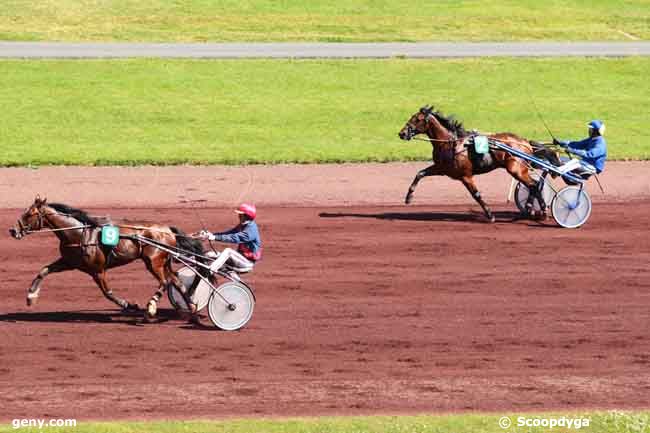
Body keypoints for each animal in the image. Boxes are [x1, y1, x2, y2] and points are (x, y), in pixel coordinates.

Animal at [8, 196, 204, 320]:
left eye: (29, 214)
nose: (13, 230)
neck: (79, 234)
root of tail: (168, 230)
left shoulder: (97, 270)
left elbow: (107, 292)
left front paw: (129, 305)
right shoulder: (69, 262)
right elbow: (44, 271)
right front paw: (31, 296)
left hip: (153, 262)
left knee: (164, 282)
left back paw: (151, 308)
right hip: (164, 262)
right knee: (176, 281)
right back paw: (192, 309)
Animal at [398, 103, 544, 221]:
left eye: (417, 119)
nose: (402, 133)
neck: (451, 143)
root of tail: (526, 142)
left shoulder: (465, 176)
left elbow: (476, 195)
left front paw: (490, 215)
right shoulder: (442, 169)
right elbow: (420, 173)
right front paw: (408, 197)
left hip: (516, 169)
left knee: (534, 185)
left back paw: (536, 208)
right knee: (536, 184)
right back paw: (535, 209)